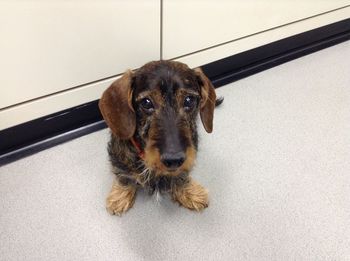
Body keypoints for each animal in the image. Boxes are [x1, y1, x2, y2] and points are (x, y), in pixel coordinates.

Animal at [98, 60, 221, 214]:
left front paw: (190, 193)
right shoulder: (118, 157)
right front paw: (120, 197)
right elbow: (123, 175)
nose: (174, 160)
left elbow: (182, 175)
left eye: (189, 100)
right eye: (146, 102)